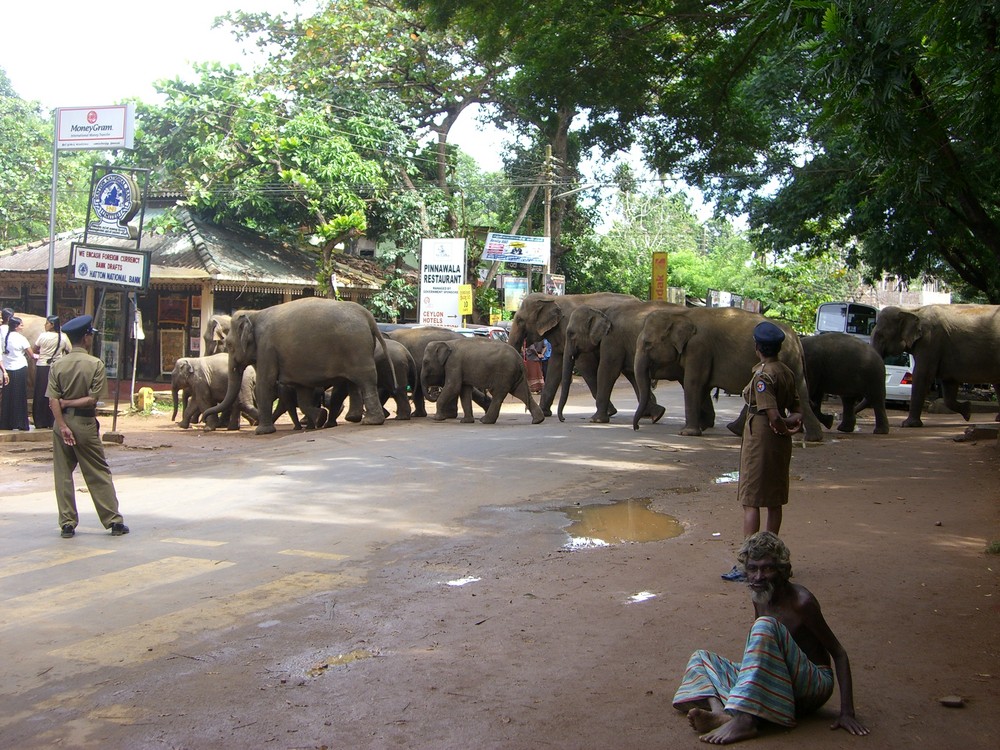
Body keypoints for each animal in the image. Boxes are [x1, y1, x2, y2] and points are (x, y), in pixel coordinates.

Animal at [203, 296, 390, 432]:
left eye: (228, 345)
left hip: (356, 349)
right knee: (355, 383)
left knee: (365, 381)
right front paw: (319, 417)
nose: (204, 420)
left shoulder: (266, 348)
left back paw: (370, 422)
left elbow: (265, 383)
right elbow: (302, 392)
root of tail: (368, 316)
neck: (254, 314)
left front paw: (262, 432)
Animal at [508, 292, 640, 418]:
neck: (550, 298)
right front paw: (544, 413)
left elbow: (584, 365)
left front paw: (610, 412)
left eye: (519, 320)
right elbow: (556, 366)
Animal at [552, 302, 684, 426]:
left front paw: (596, 420)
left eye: (571, 334)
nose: (563, 419)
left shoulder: (612, 338)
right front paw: (657, 414)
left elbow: (607, 370)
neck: (601, 310)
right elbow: (632, 373)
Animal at [628, 308, 824, 444]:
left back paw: (811, 438)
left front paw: (687, 433)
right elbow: (701, 386)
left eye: (647, 344)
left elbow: (693, 383)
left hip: (787, 359)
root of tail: (796, 337)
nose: (636, 428)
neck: (680, 314)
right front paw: (704, 425)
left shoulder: (699, 348)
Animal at [868, 304, 1000, 426]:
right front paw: (968, 410)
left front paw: (908, 425)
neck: (911, 311)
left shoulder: (930, 341)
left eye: (881, 335)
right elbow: (948, 385)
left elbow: (922, 374)